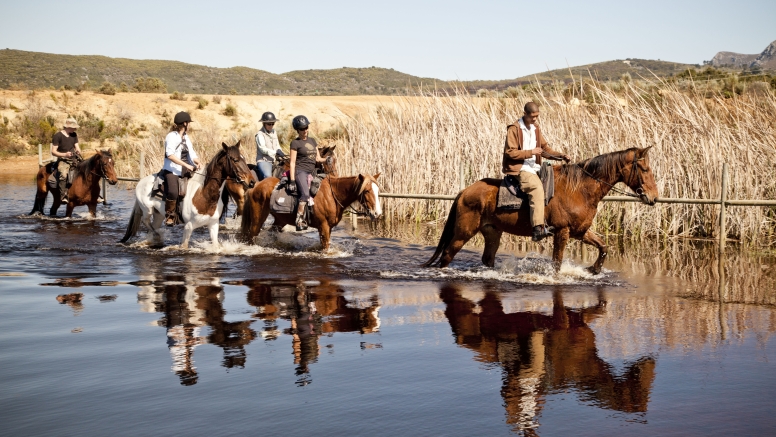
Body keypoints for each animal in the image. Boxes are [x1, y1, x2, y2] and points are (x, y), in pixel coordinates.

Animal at [121, 141, 255, 247]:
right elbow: (184, 246)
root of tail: (141, 182)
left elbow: (216, 246)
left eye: (244, 159)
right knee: (145, 221)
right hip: (147, 209)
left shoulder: (213, 225)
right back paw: (157, 235)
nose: (252, 182)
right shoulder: (189, 226)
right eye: (235, 160)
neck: (204, 195)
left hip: (158, 214)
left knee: (153, 225)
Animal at [238, 172, 380, 250]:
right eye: (367, 191)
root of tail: (256, 185)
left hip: (280, 221)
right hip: (257, 219)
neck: (332, 195)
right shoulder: (323, 226)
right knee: (251, 236)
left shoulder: (328, 228)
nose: (377, 213)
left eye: (378, 190)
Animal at [422, 148, 656, 274]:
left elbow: (604, 246)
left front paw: (594, 269)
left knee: (487, 258)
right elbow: (557, 263)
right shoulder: (562, 232)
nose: (653, 198)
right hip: (463, 232)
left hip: (492, 232)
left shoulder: (580, 232)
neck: (579, 189)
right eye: (644, 169)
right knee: (448, 254)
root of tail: (464, 191)